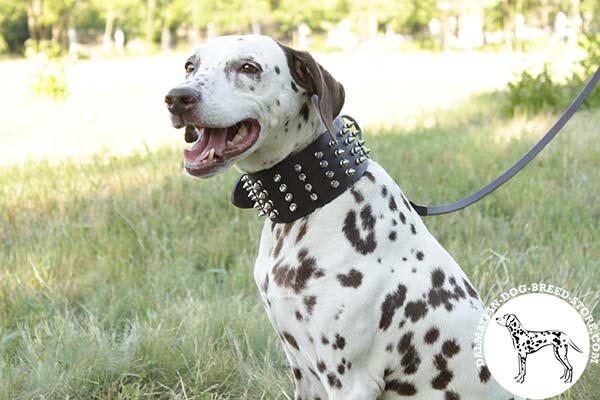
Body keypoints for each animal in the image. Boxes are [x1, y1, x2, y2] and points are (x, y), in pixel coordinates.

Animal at [163, 35, 520, 400]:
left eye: (248, 67)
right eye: (190, 65)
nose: (177, 98)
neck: (314, 198)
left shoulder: (349, 380)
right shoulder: (303, 372)